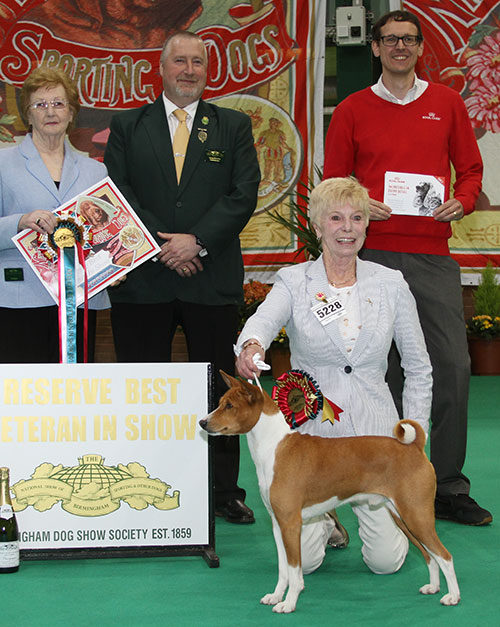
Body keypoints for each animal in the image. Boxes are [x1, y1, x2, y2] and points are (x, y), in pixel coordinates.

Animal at [198, 372, 460, 612]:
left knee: (445, 555)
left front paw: (288, 603)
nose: (202, 422)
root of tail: (415, 447)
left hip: (416, 515)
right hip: (403, 517)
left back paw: (453, 597)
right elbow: (284, 569)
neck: (274, 447)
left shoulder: (290, 523)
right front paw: (276, 596)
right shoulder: (277, 523)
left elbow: (294, 571)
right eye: (220, 402)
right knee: (430, 555)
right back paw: (433, 587)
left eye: (229, 406)